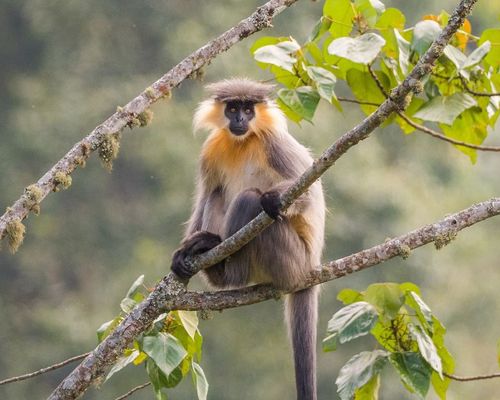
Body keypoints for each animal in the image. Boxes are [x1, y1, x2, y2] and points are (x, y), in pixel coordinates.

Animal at [172, 78, 326, 400]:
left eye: (247, 108)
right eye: (233, 108)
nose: (240, 120)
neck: (243, 141)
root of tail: (310, 268)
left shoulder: (275, 142)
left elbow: (307, 194)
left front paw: (275, 198)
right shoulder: (211, 149)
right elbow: (205, 194)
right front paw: (183, 251)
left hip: (289, 258)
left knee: (250, 200)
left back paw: (229, 270)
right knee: (217, 194)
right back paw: (207, 252)